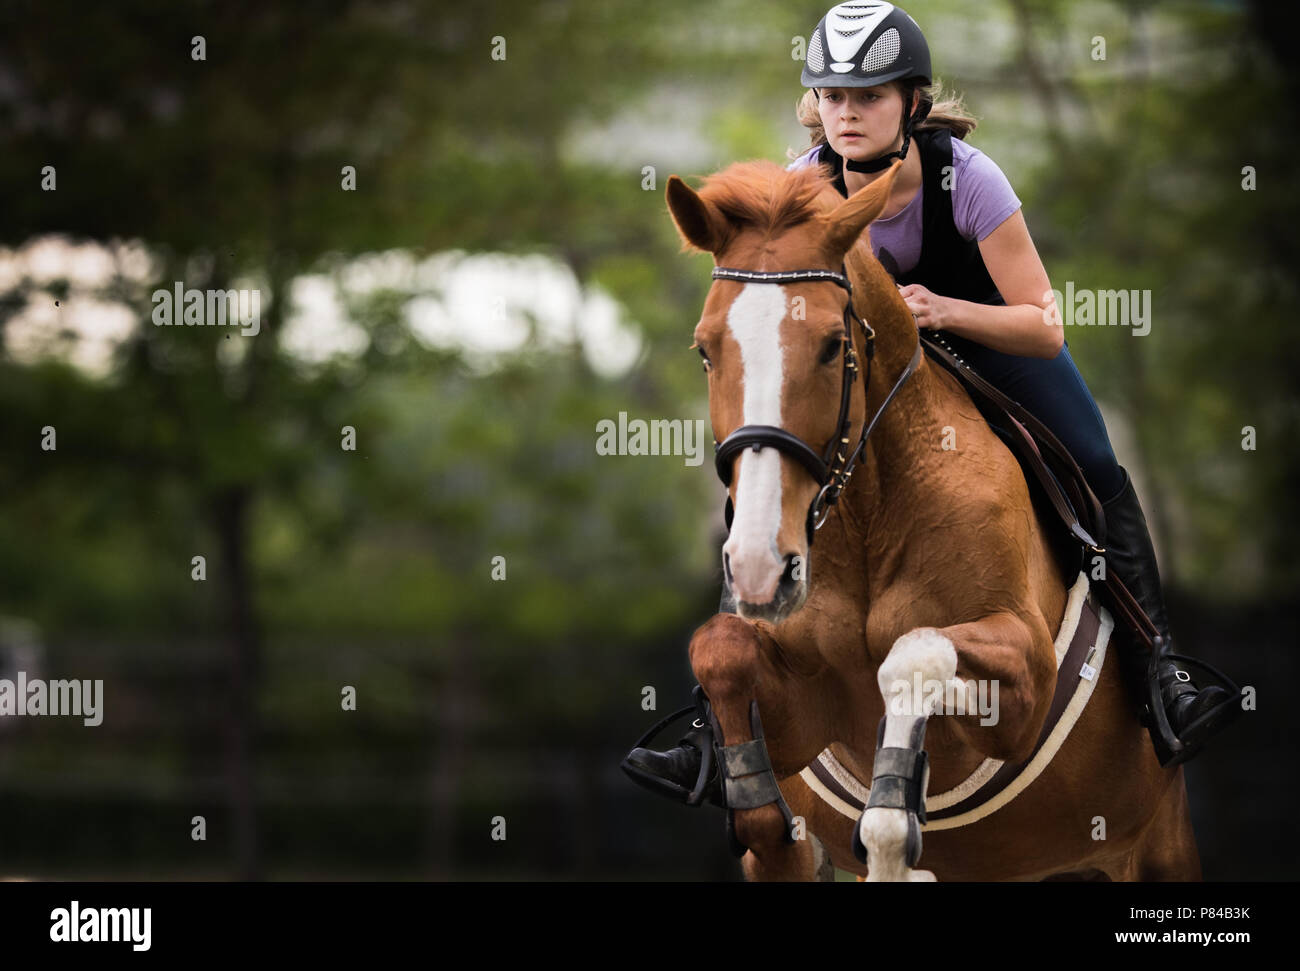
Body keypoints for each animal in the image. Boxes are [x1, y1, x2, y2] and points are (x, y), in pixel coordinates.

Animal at [670, 159, 1196, 878]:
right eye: (704, 350)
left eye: (833, 346)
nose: (758, 567)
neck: (867, 520)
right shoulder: (802, 711)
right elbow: (721, 652)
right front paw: (761, 813)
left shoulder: (1025, 681)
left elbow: (911, 657)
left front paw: (895, 831)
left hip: (1155, 845)